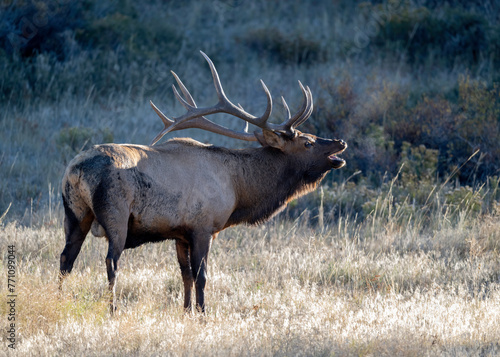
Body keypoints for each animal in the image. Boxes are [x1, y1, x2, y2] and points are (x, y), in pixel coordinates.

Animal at [58, 51, 346, 312]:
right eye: (308, 142)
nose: (340, 142)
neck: (238, 190)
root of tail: (75, 170)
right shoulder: (204, 227)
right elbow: (202, 276)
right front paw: (203, 313)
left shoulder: (180, 233)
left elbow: (185, 274)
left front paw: (186, 311)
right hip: (116, 214)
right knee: (111, 262)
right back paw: (113, 309)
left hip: (74, 213)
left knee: (66, 258)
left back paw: (59, 299)